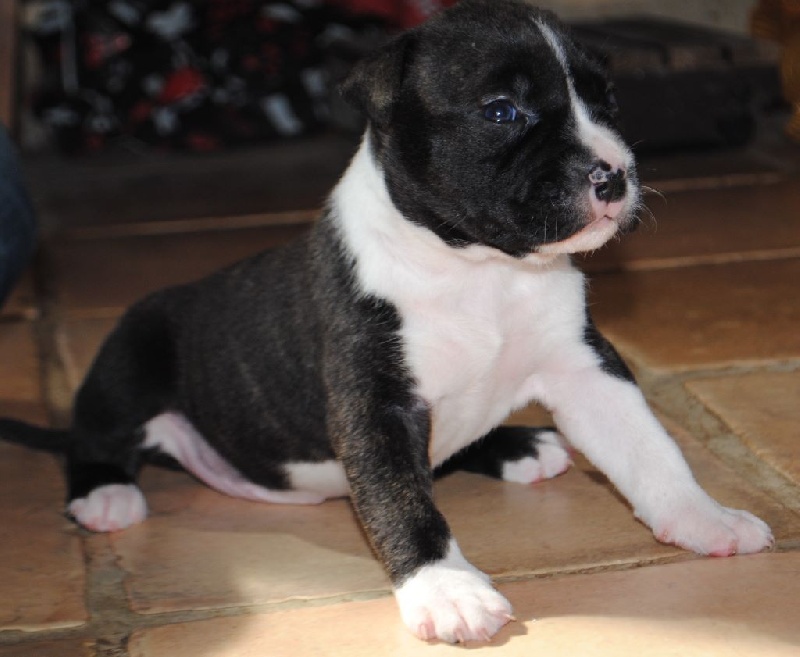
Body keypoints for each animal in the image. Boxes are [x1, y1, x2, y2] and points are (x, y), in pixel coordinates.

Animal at [0, 0, 773, 644]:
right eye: (502, 112)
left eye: (606, 100)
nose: (613, 176)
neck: (480, 268)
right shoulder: (377, 405)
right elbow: (406, 502)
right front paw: (447, 590)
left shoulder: (586, 368)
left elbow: (650, 451)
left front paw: (703, 518)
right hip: (131, 351)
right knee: (93, 435)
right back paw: (105, 492)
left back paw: (518, 446)